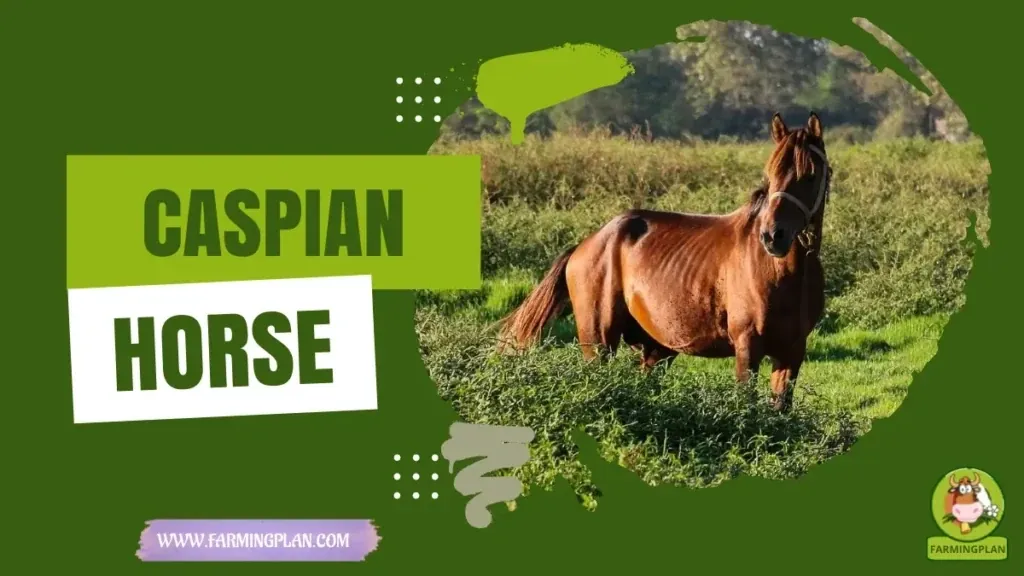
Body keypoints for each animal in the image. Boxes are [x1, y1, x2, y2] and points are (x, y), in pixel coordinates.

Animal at [497, 112, 832, 412]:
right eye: (770, 175)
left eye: (810, 176)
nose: (773, 236)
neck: (782, 276)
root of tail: (584, 245)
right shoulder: (747, 348)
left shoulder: (792, 353)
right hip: (599, 343)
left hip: (657, 350)